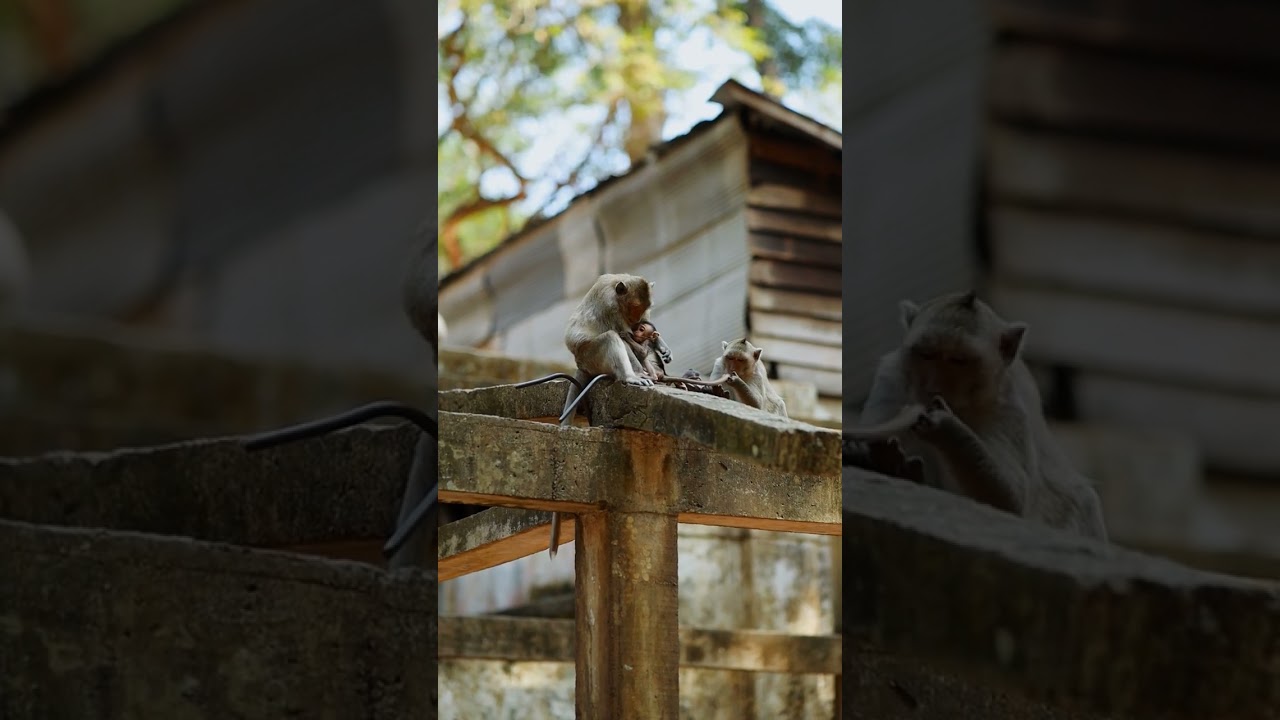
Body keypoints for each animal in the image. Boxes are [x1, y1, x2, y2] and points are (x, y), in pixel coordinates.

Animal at [856, 290, 1108, 541]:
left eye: (959, 360)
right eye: (927, 354)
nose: (933, 387)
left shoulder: (1007, 406)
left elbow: (1011, 501)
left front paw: (948, 428)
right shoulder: (891, 378)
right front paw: (866, 453)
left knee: (1080, 500)